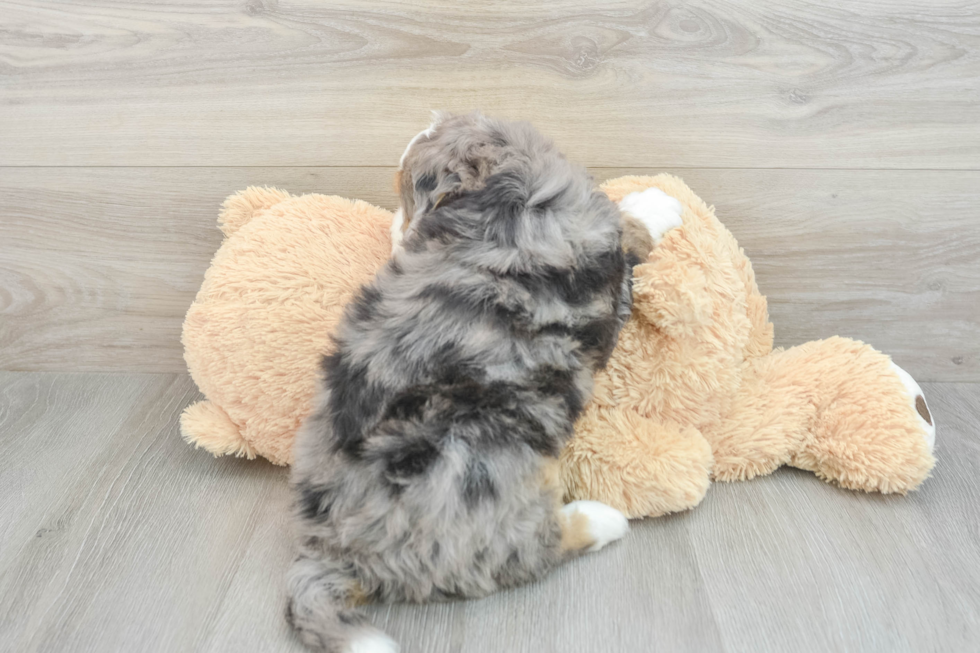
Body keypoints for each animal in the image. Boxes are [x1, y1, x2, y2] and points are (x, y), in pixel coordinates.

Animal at [288, 113, 664, 652]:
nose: (397, 227)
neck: (510, 198)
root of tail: (331, 550)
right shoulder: (612, 280)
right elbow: (632, 231)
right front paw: (657, 202)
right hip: (492, 479)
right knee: (526, 552)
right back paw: (601, 519)